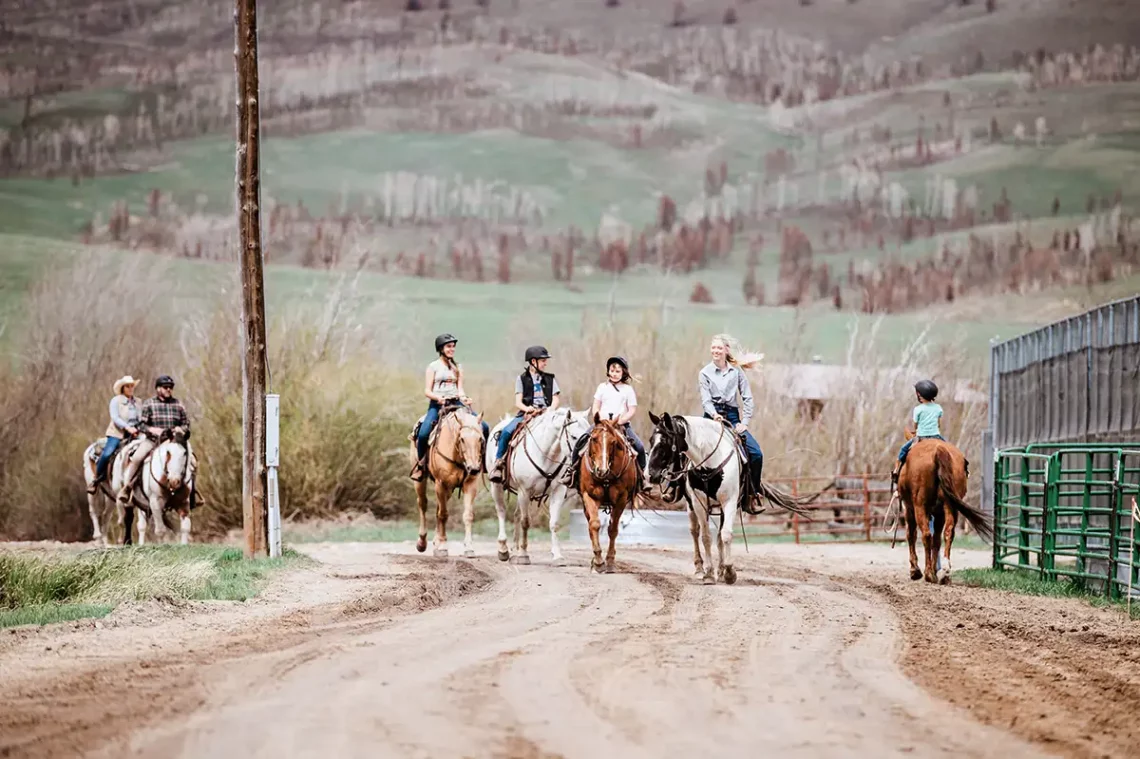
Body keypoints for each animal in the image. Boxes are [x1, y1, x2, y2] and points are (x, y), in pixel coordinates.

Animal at [408, 401, 483, 556]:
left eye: (480, 439)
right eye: (462, 439)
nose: (473, 468)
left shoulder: (470, 484)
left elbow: (467, 515)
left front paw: (469, 548)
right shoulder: (441, 483)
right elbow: (443, 514)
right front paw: (443, 546)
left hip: (448, 489)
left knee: (437, 508)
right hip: (421, 480)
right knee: (423, 504)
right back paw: (422, 542)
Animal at [483, 407, 592, 560]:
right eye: (574, 437)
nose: (586, 459)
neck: (545, 454)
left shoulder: (558, 491)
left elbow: (554, 523)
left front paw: (557, 554)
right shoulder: (524, 491)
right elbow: (525, 521)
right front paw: (523, 555)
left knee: (516, 514)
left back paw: (515, 547)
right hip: (497, 486)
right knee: (502, 511)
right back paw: (503, 549)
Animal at [579, 417, 642, 569]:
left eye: (613, 442)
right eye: (594, 439)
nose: (601, 470)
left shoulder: (621, 499)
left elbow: (613, 529)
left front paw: (610, 560)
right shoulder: (589, 495)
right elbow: (594, 524)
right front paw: (598, 561)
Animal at [647, 410, 816, 581]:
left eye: (664, 442)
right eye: (651, 440)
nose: (649, 475)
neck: (710, 463)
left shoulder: (729, 502)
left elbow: (725, 535)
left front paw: (728, 572)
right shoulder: (698, 502)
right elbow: (705, 536)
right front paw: (709, 573)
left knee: (719, 535)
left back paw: (720, 570)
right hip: (690, 504)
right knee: (694, 532)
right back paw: (699, 568)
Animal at [893, 430, 994, 578]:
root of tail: (939, 450)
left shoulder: (909, 509)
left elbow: (911, 535)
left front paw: (915, 570)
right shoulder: (939, 514)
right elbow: (937, 539)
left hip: (919, 506)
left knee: (926, 534)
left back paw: (928, 573)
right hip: (950, 506)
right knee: (948, 532)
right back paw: (944, 572)